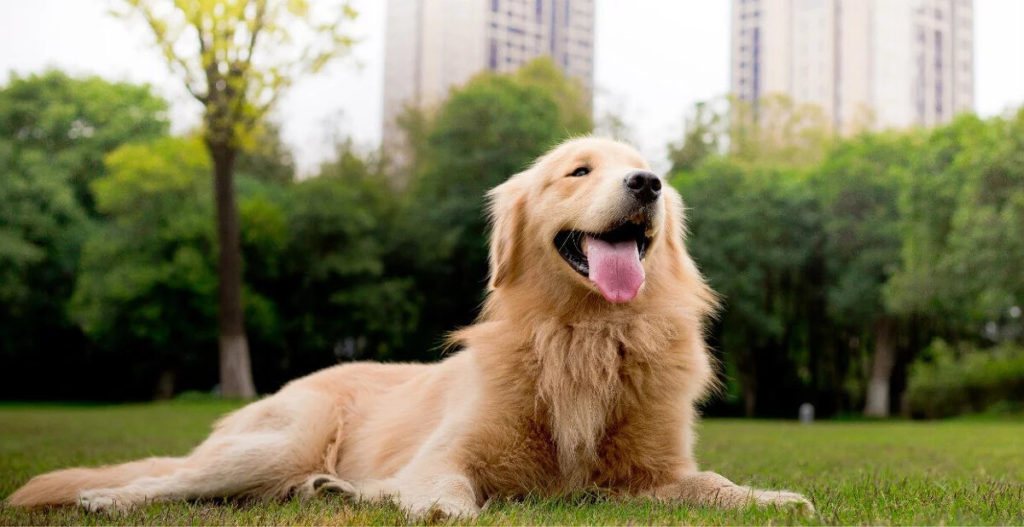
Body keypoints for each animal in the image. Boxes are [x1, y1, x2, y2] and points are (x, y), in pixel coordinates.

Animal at [6, 137, 806, 519]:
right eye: (578, 171)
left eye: (645, 170)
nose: (648, 185)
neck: (582, 335)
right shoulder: (448, 452)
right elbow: (444, 480)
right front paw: (445, 509)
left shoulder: (649, 474)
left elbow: (712, 482)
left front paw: (771, 499)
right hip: (283, 436)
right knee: (169, 480)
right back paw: (108, 499)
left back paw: (330, 492)